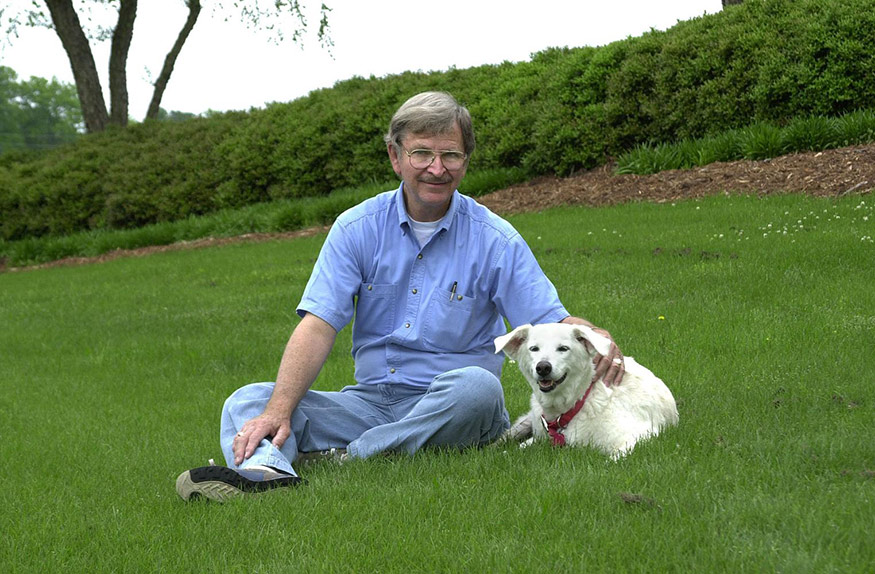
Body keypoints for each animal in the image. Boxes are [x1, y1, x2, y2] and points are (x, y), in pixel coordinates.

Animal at [496, 324, 680, 460]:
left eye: (563, 348)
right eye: (534, 349)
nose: (543, 367)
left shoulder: (639, 436)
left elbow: (614, 459)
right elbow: (520, 447)